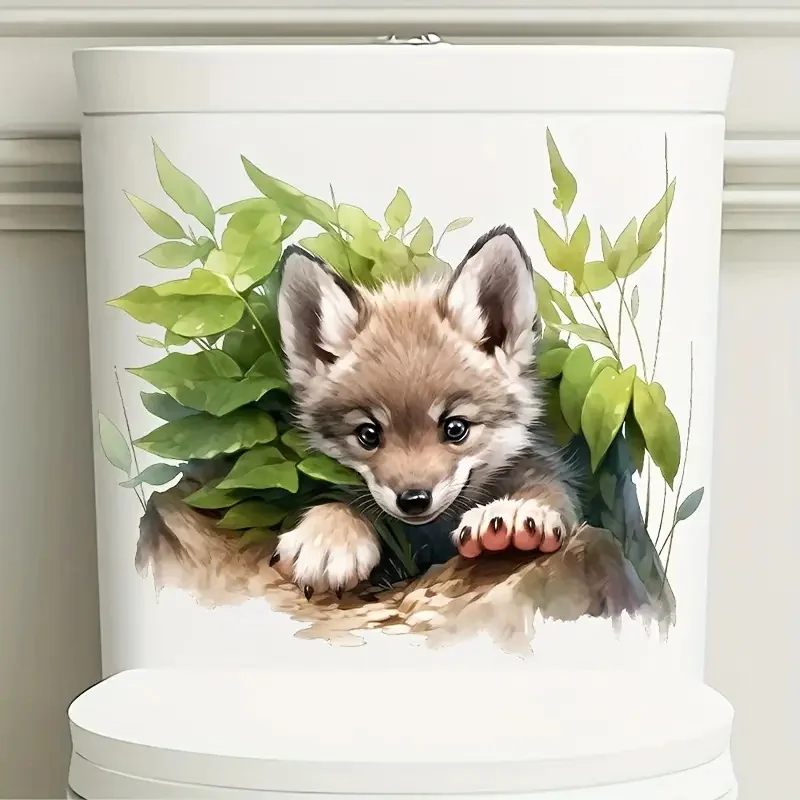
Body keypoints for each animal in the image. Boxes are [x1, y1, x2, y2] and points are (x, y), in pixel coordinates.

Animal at [272, 225, 587, 599]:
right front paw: (329, 535)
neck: (432, 536)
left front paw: (513, 512)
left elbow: (546, 490)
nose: (414, 499)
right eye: (368, 434)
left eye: (455, 428)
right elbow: (345, 501)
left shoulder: (540, 465)